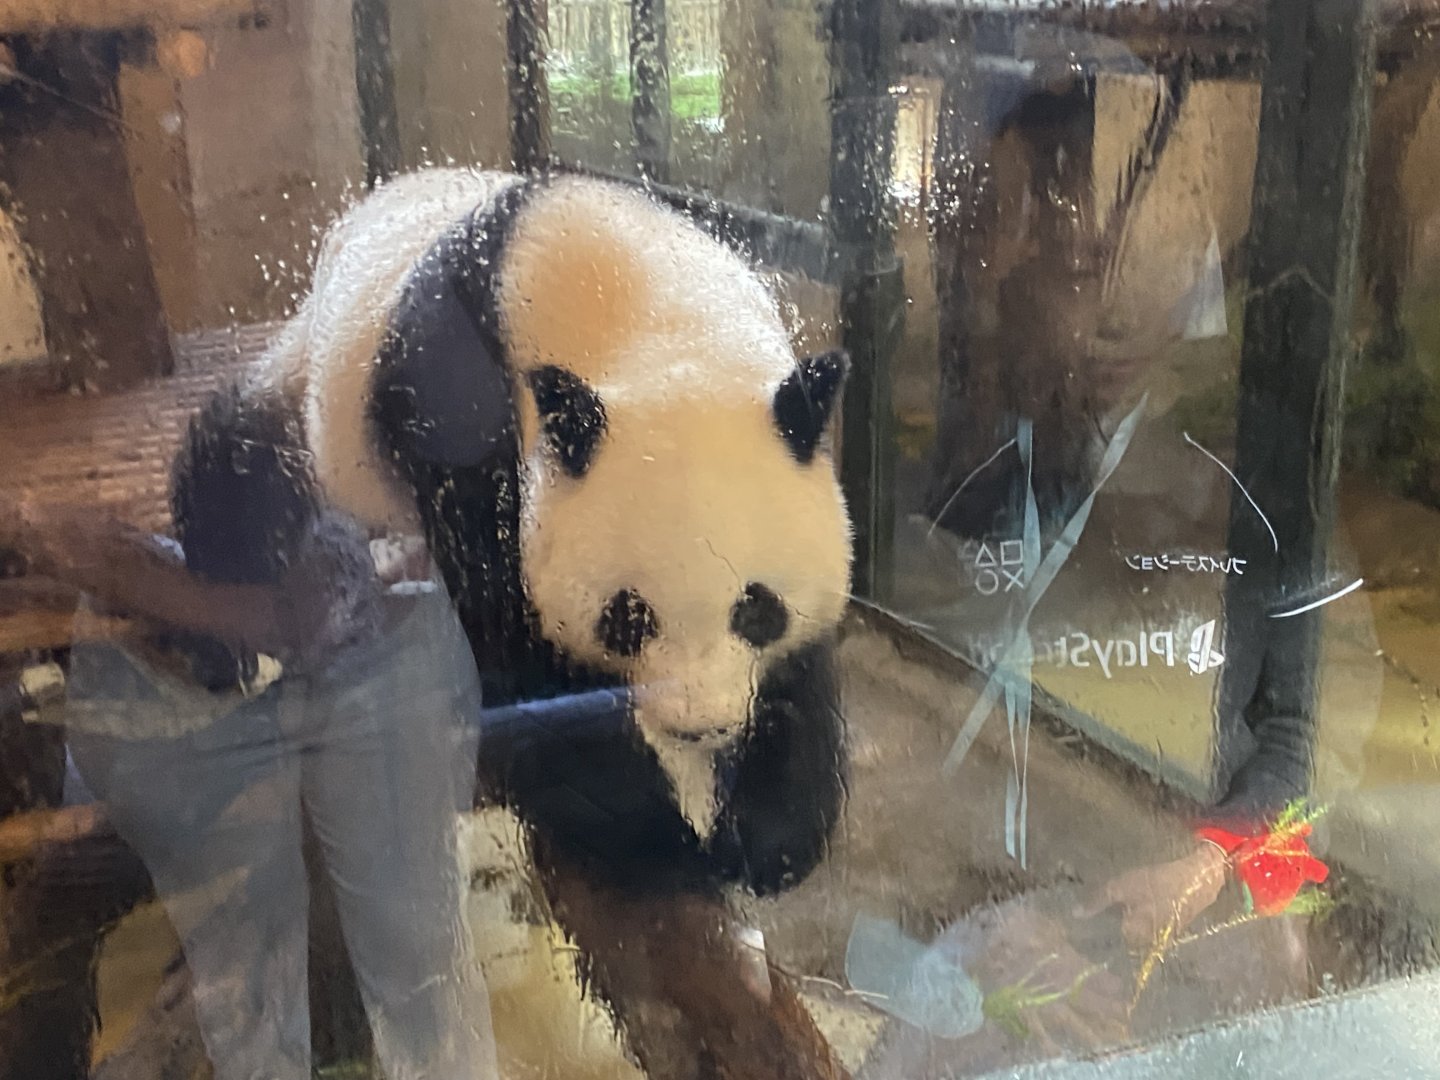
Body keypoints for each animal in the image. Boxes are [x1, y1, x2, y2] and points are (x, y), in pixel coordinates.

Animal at [173, 166, 853, 903]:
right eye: (629, 618)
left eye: (757, 609)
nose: (699, 725)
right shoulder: (456, 401)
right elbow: (511, 641)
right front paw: (655, 836)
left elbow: (801, 671)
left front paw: (766, 836)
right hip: (323, 398)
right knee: (245, 466)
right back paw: (222, 642)